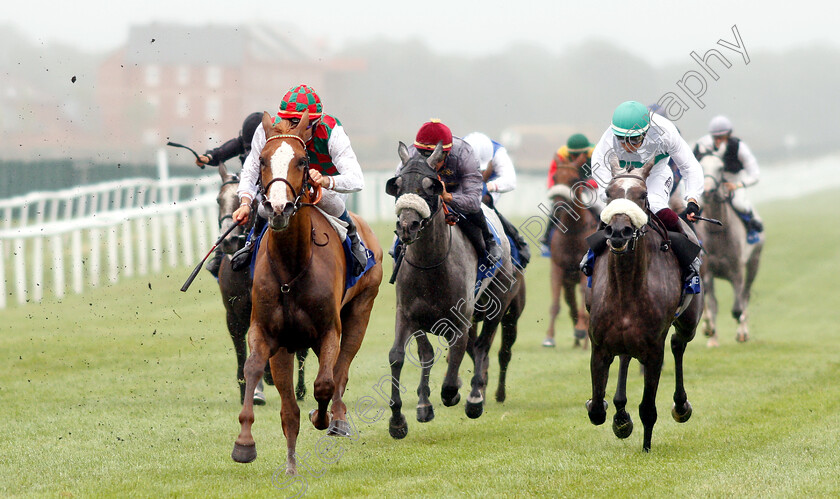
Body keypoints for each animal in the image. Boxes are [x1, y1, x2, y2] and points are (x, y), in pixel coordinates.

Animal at [233, 111, 384, 474]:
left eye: (302, 161)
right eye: (262, 160)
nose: (278, 208)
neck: (292, 267)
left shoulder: (328, 331)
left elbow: (325, 383)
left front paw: (322, 416)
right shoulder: (269, 334)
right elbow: (257, 374)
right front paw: (247, 444)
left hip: (360, 311)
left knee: (341, 370)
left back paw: (337, 419)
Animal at [386, 141, 520, 438]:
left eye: (430, 186)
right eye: (397, 185)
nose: (407, 226)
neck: (431, 265)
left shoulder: (460, 320)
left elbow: (452, 372)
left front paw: (457, 392)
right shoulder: (408, 314)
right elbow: (400, 357)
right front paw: (399, 419)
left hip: (498, 303)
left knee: (482, 345)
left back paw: (474, 397)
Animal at [544, 167, 596, 348]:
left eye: (573, 180)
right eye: (554, 177)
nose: (559, 206)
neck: (572, 232)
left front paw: (581, 329)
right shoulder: (557, 268)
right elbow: (555, 305)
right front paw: (549, 338)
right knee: (570, 303)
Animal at [692, 154, 764, 346]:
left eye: (721, 167)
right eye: (701, 166)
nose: (707, 191)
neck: (717, 232)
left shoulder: (737, 270)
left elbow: (738, 306)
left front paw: (741, 330)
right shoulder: (707, 271)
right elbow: (711, 304)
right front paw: (710, 332)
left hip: (754, 262)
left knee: (745, 294)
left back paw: (742, 331)